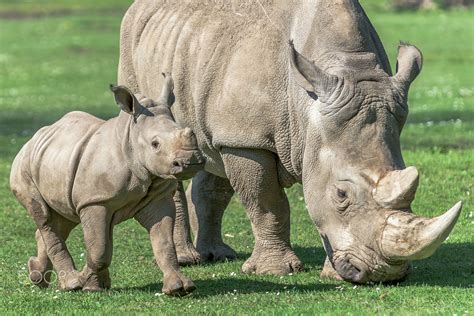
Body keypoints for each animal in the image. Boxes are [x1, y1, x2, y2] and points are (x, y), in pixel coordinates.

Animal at [8, 73, 202, 296]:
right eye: (155, 144)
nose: (191, 161)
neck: (130, 140)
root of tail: (31, 139)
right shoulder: (96, 201)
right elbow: (99, 249)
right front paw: (88, 283)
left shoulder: (157, 198)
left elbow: (163, 242)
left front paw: (180, 288)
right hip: (23, 167)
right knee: (45, 217)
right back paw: (72, 284)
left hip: (54, 162)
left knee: (64, 219)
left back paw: (39, 277)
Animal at [118, 0, 462, 282]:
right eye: (341, 195)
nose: (383, 274)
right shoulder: (249, 142)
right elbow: (266, 203)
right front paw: (275, 271)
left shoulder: (248, 131)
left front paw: (329, 273)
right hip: (135, 53)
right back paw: (188, 260)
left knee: (213, 153)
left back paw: (218, 255)